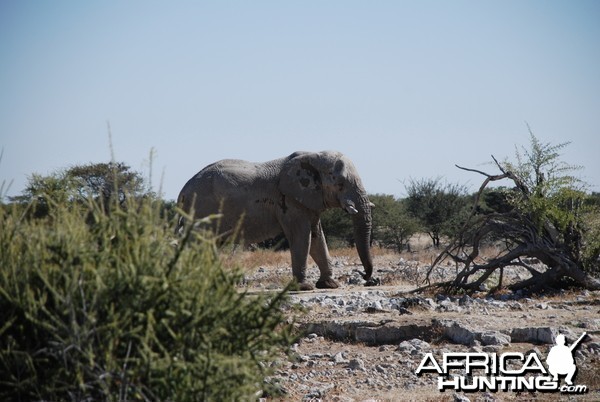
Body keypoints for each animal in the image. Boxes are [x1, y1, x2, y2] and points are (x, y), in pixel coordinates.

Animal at [177, 150, 376, 288]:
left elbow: (318, 238)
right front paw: (304, 287)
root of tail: (184, 190)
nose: (365, 277)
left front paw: (329, 285)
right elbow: (302, 238)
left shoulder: (308, 201)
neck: (313, 156)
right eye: (340, 184)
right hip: (201, 209)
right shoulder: (289, 201)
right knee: (201, 244)